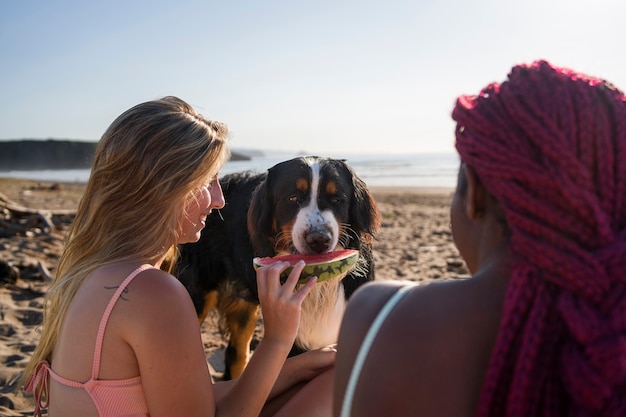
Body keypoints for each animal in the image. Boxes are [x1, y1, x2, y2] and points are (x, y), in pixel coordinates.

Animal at [176, 154, 380, 378]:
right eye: (292, 198)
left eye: (336, 200)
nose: (319, 239)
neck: (318, 287)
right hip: (198, 296)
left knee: (236, 356)